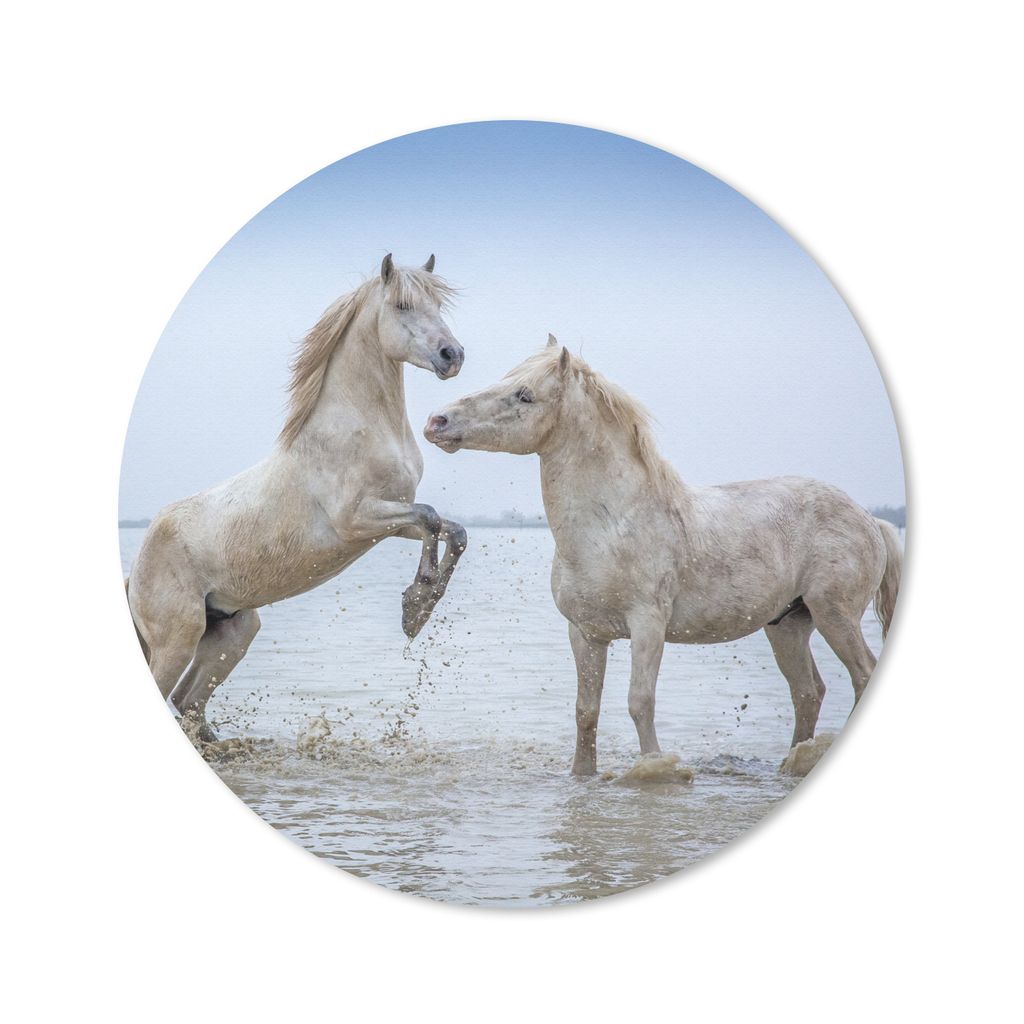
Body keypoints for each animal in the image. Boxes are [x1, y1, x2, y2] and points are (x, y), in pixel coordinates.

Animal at [126, 254, 468, 742]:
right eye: (402, 305)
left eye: (438, 304)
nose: (452, 356)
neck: (358, 428)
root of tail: (135, 568)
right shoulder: (356, 521)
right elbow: (430, 516)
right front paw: (414, 608)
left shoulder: (387, 523)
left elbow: (450, 529)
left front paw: (418, 609)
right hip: (177, 638)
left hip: (235, 630)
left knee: (188, 701)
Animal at [424, 336, 902, 775]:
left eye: (524, 395)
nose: (436, 421)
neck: (612, 526)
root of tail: (869, 519)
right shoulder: (585, 633)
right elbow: (585, 710)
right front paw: (582, 774)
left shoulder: (647, 624)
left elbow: (640, 701)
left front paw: (656, 768)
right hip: (788, 625)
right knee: (808, 692)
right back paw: (791, 763)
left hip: (834, 614)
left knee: (861, 674)